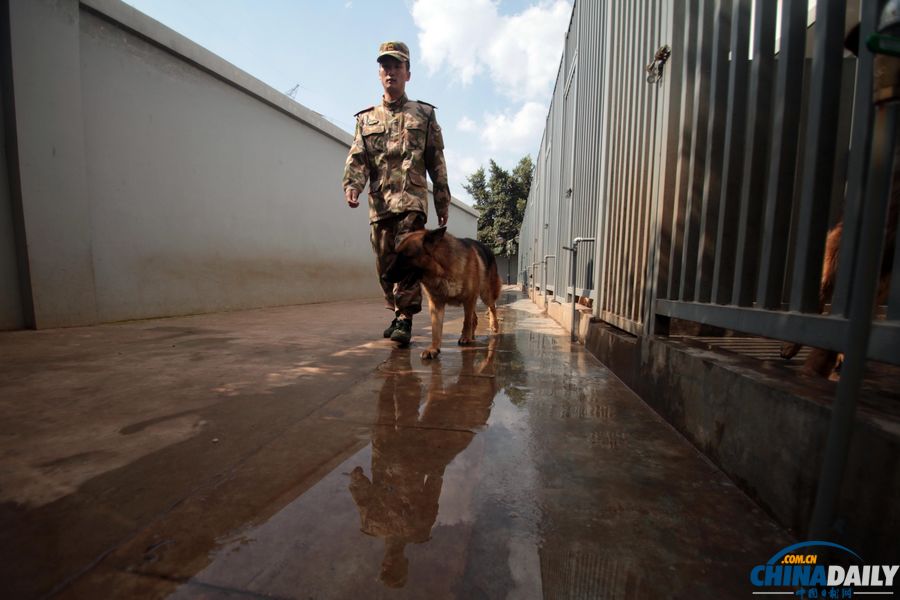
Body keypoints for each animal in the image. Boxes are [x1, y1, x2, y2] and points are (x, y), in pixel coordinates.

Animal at [384, 227, 502, 358]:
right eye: (396, 255)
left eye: (405, 256)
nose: (384, 277)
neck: (442, 271)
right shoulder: (436, 304)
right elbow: (436, 328)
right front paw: (433, 348)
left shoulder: (469, 299)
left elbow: (466, 321)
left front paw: (465, 337)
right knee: (474, 317)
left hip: (485, 293)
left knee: (491, 307)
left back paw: (493, 326)